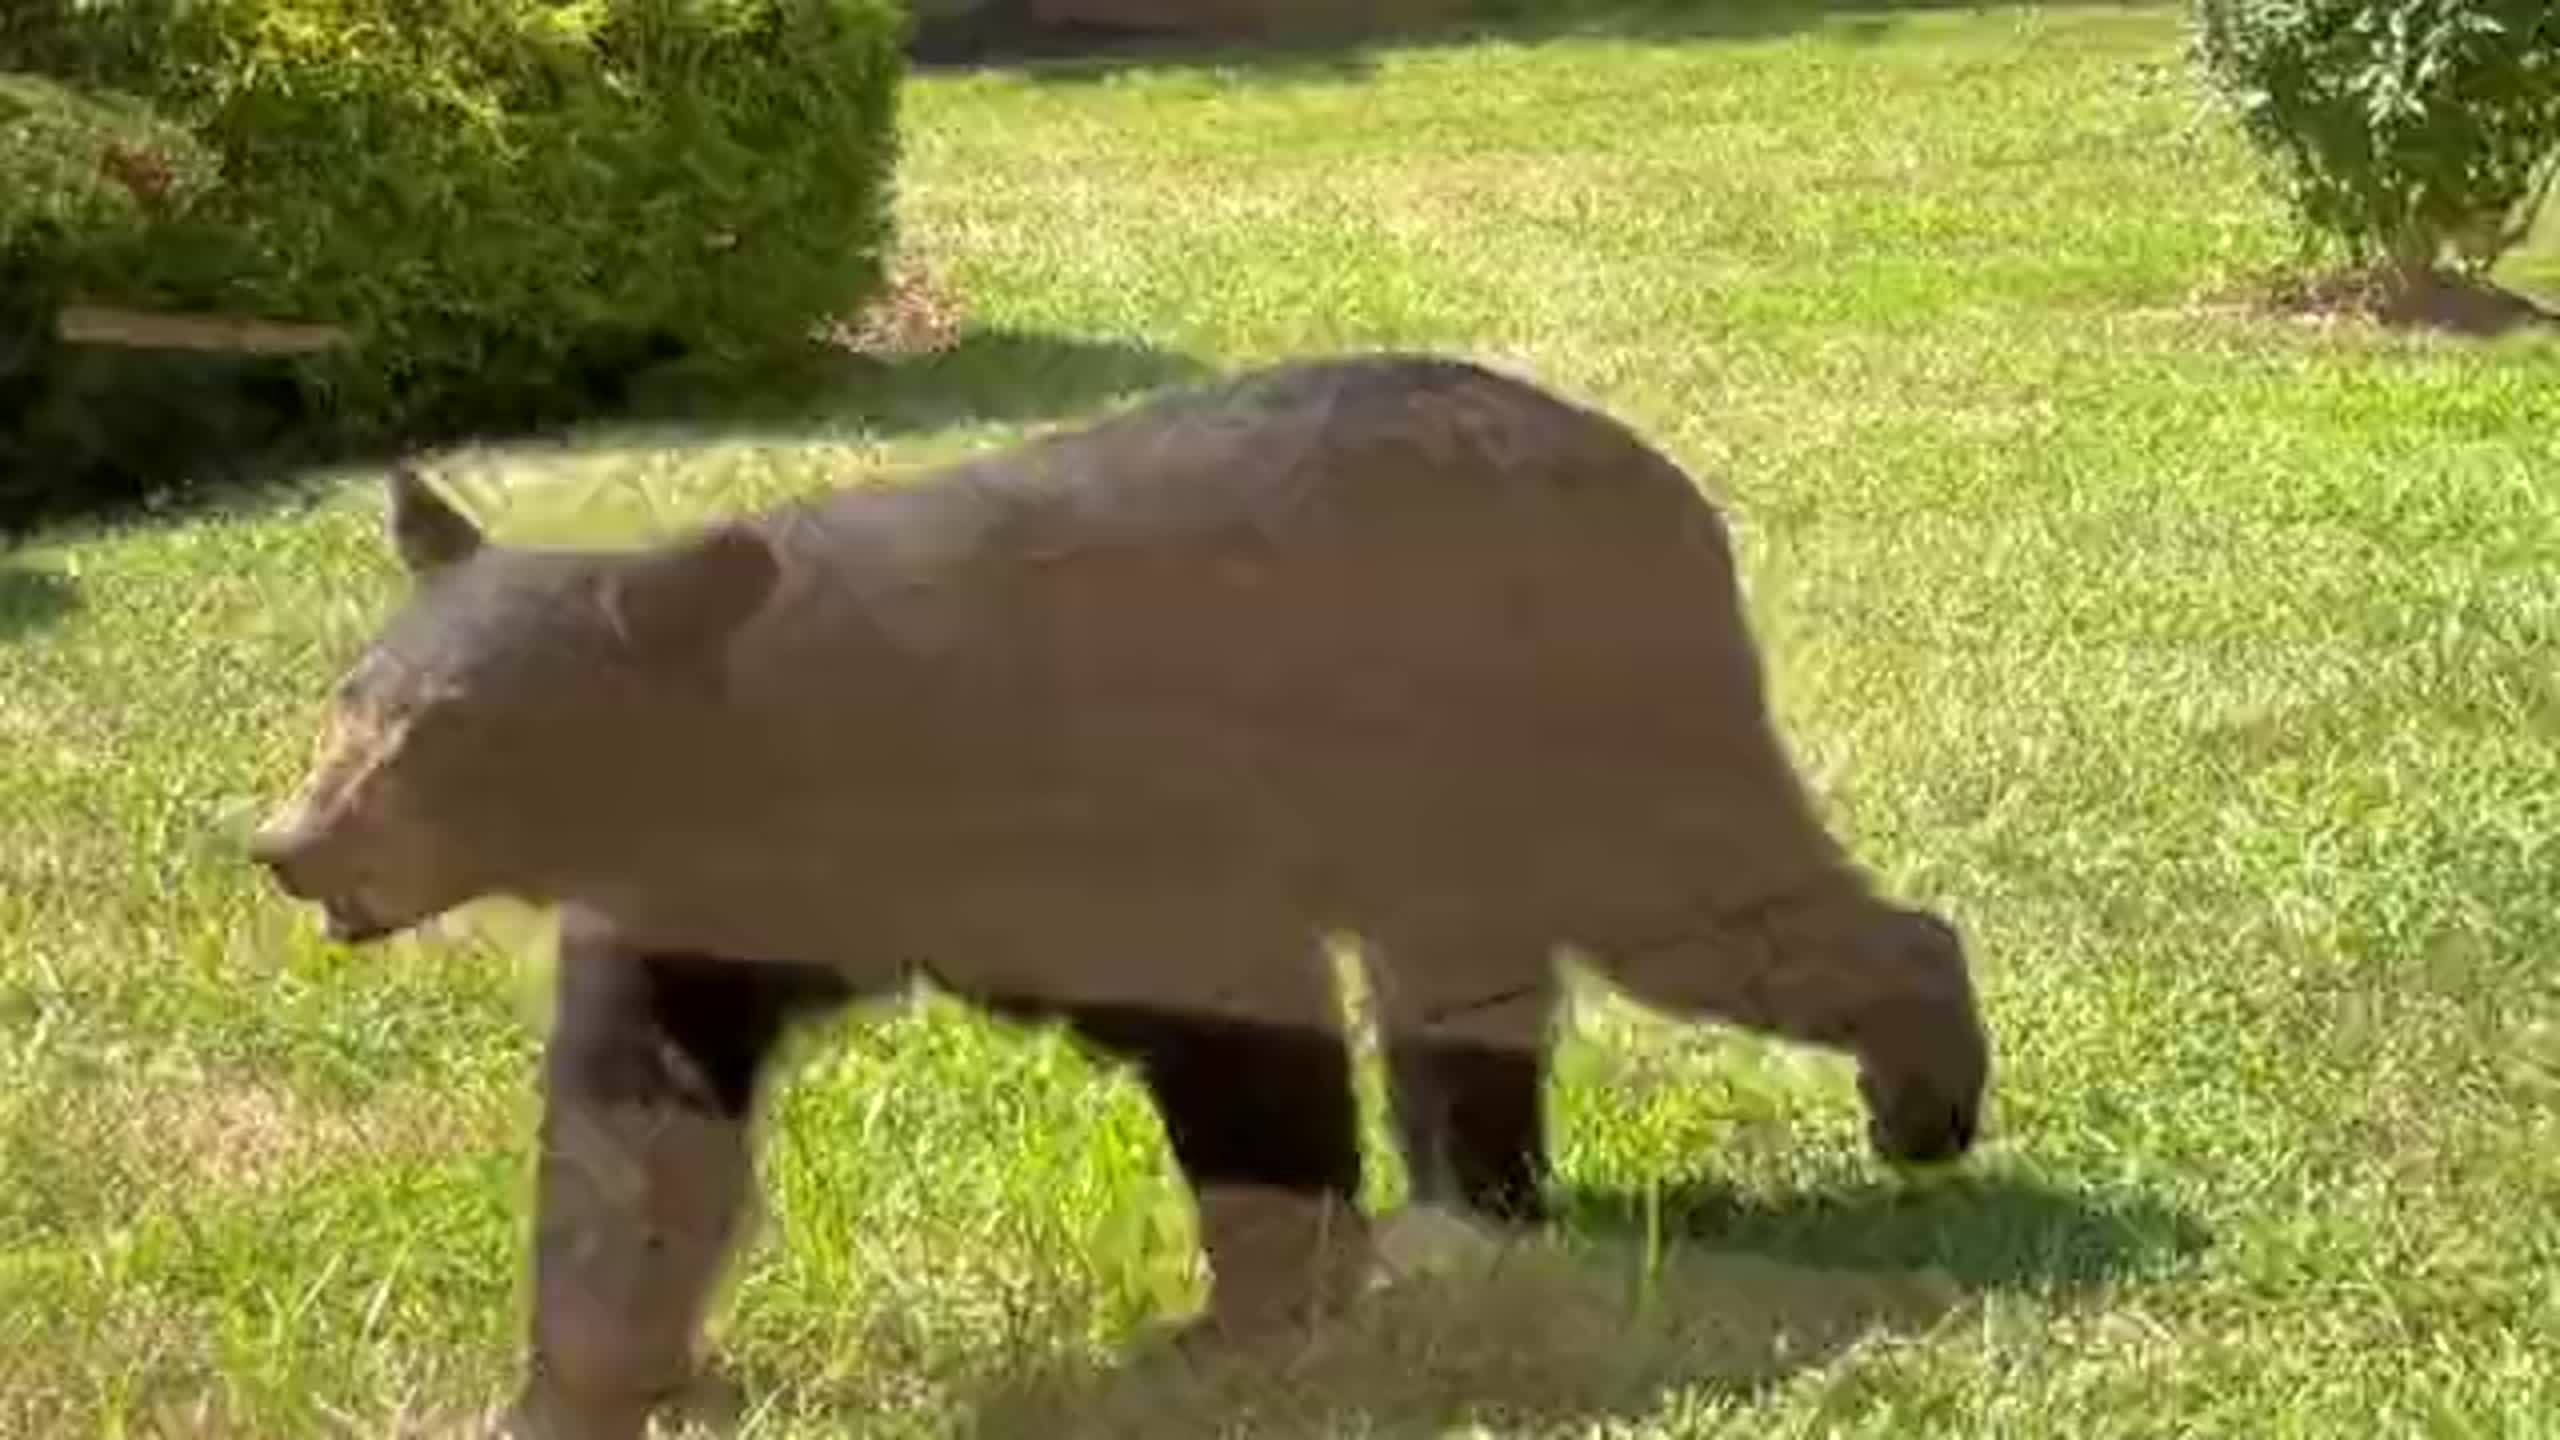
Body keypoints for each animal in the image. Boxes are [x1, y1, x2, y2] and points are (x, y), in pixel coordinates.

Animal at [247, 353, 1990, 1440]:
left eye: (443, 732)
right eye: (349, 697)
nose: (289, 844)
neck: (789, 769)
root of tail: (1663, 473)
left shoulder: (1094, 811)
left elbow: (1234, 1015)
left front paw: (1249, 1318)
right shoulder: (696, 911)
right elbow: (637, 1133)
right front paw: (578, 1387)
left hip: (1578, 698)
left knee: (1704, 906)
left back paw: (1923, 1092)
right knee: (1467, 988)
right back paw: (1471, 1207)